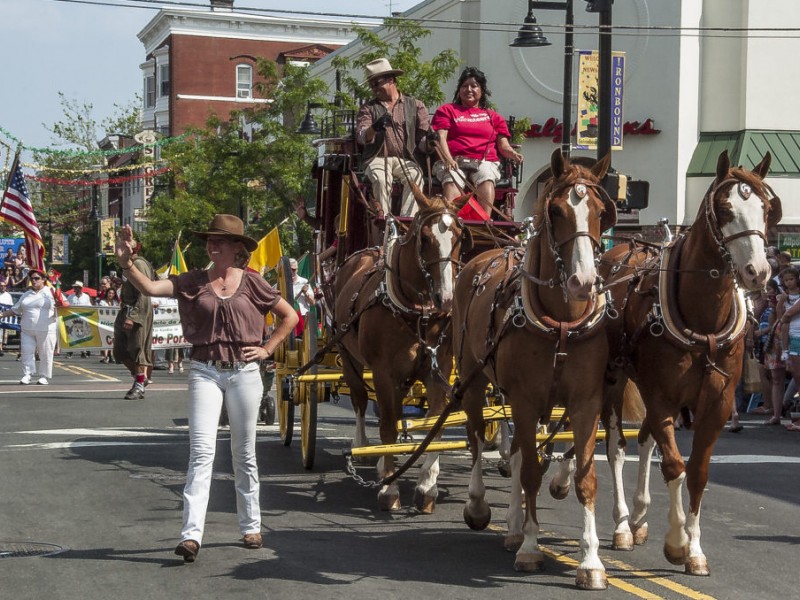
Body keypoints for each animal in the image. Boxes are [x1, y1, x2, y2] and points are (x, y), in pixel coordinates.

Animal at [332, 184, 468, 510]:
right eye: (425, 238)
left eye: (459, 236)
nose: (447, 298)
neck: (418, 312)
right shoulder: (383, 372)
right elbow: (388, 426)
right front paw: (389, 489)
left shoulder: (438, 370)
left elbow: (434, 426)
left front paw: (427, 487)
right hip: (348, 355)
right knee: (361, 401)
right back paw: (365, 448)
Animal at [454, 150, 616, 592]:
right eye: (556, 210)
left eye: (601, 212)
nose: (583, 282)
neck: (562, 322)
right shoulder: (525, 400)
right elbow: (528, 472)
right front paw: (530, 547)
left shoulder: (586, 402)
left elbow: (584, 478)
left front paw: (590, 562)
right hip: (473, 378)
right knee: (478, 438)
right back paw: (482, 508)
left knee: (513, 451)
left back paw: (511, 527)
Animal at [600, 149, 780, 572]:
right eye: (725, 208)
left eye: (766, 209)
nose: (758, 272)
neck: (703, 317)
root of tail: (619, 250)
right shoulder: (663, 397)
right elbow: (673, 466)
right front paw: (677, 541)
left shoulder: (717, 402)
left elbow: (696, 471)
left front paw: (695, 549)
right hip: (612, 381)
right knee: (616, 446)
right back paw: (622, 524)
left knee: (645, 439)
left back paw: (640, 517)